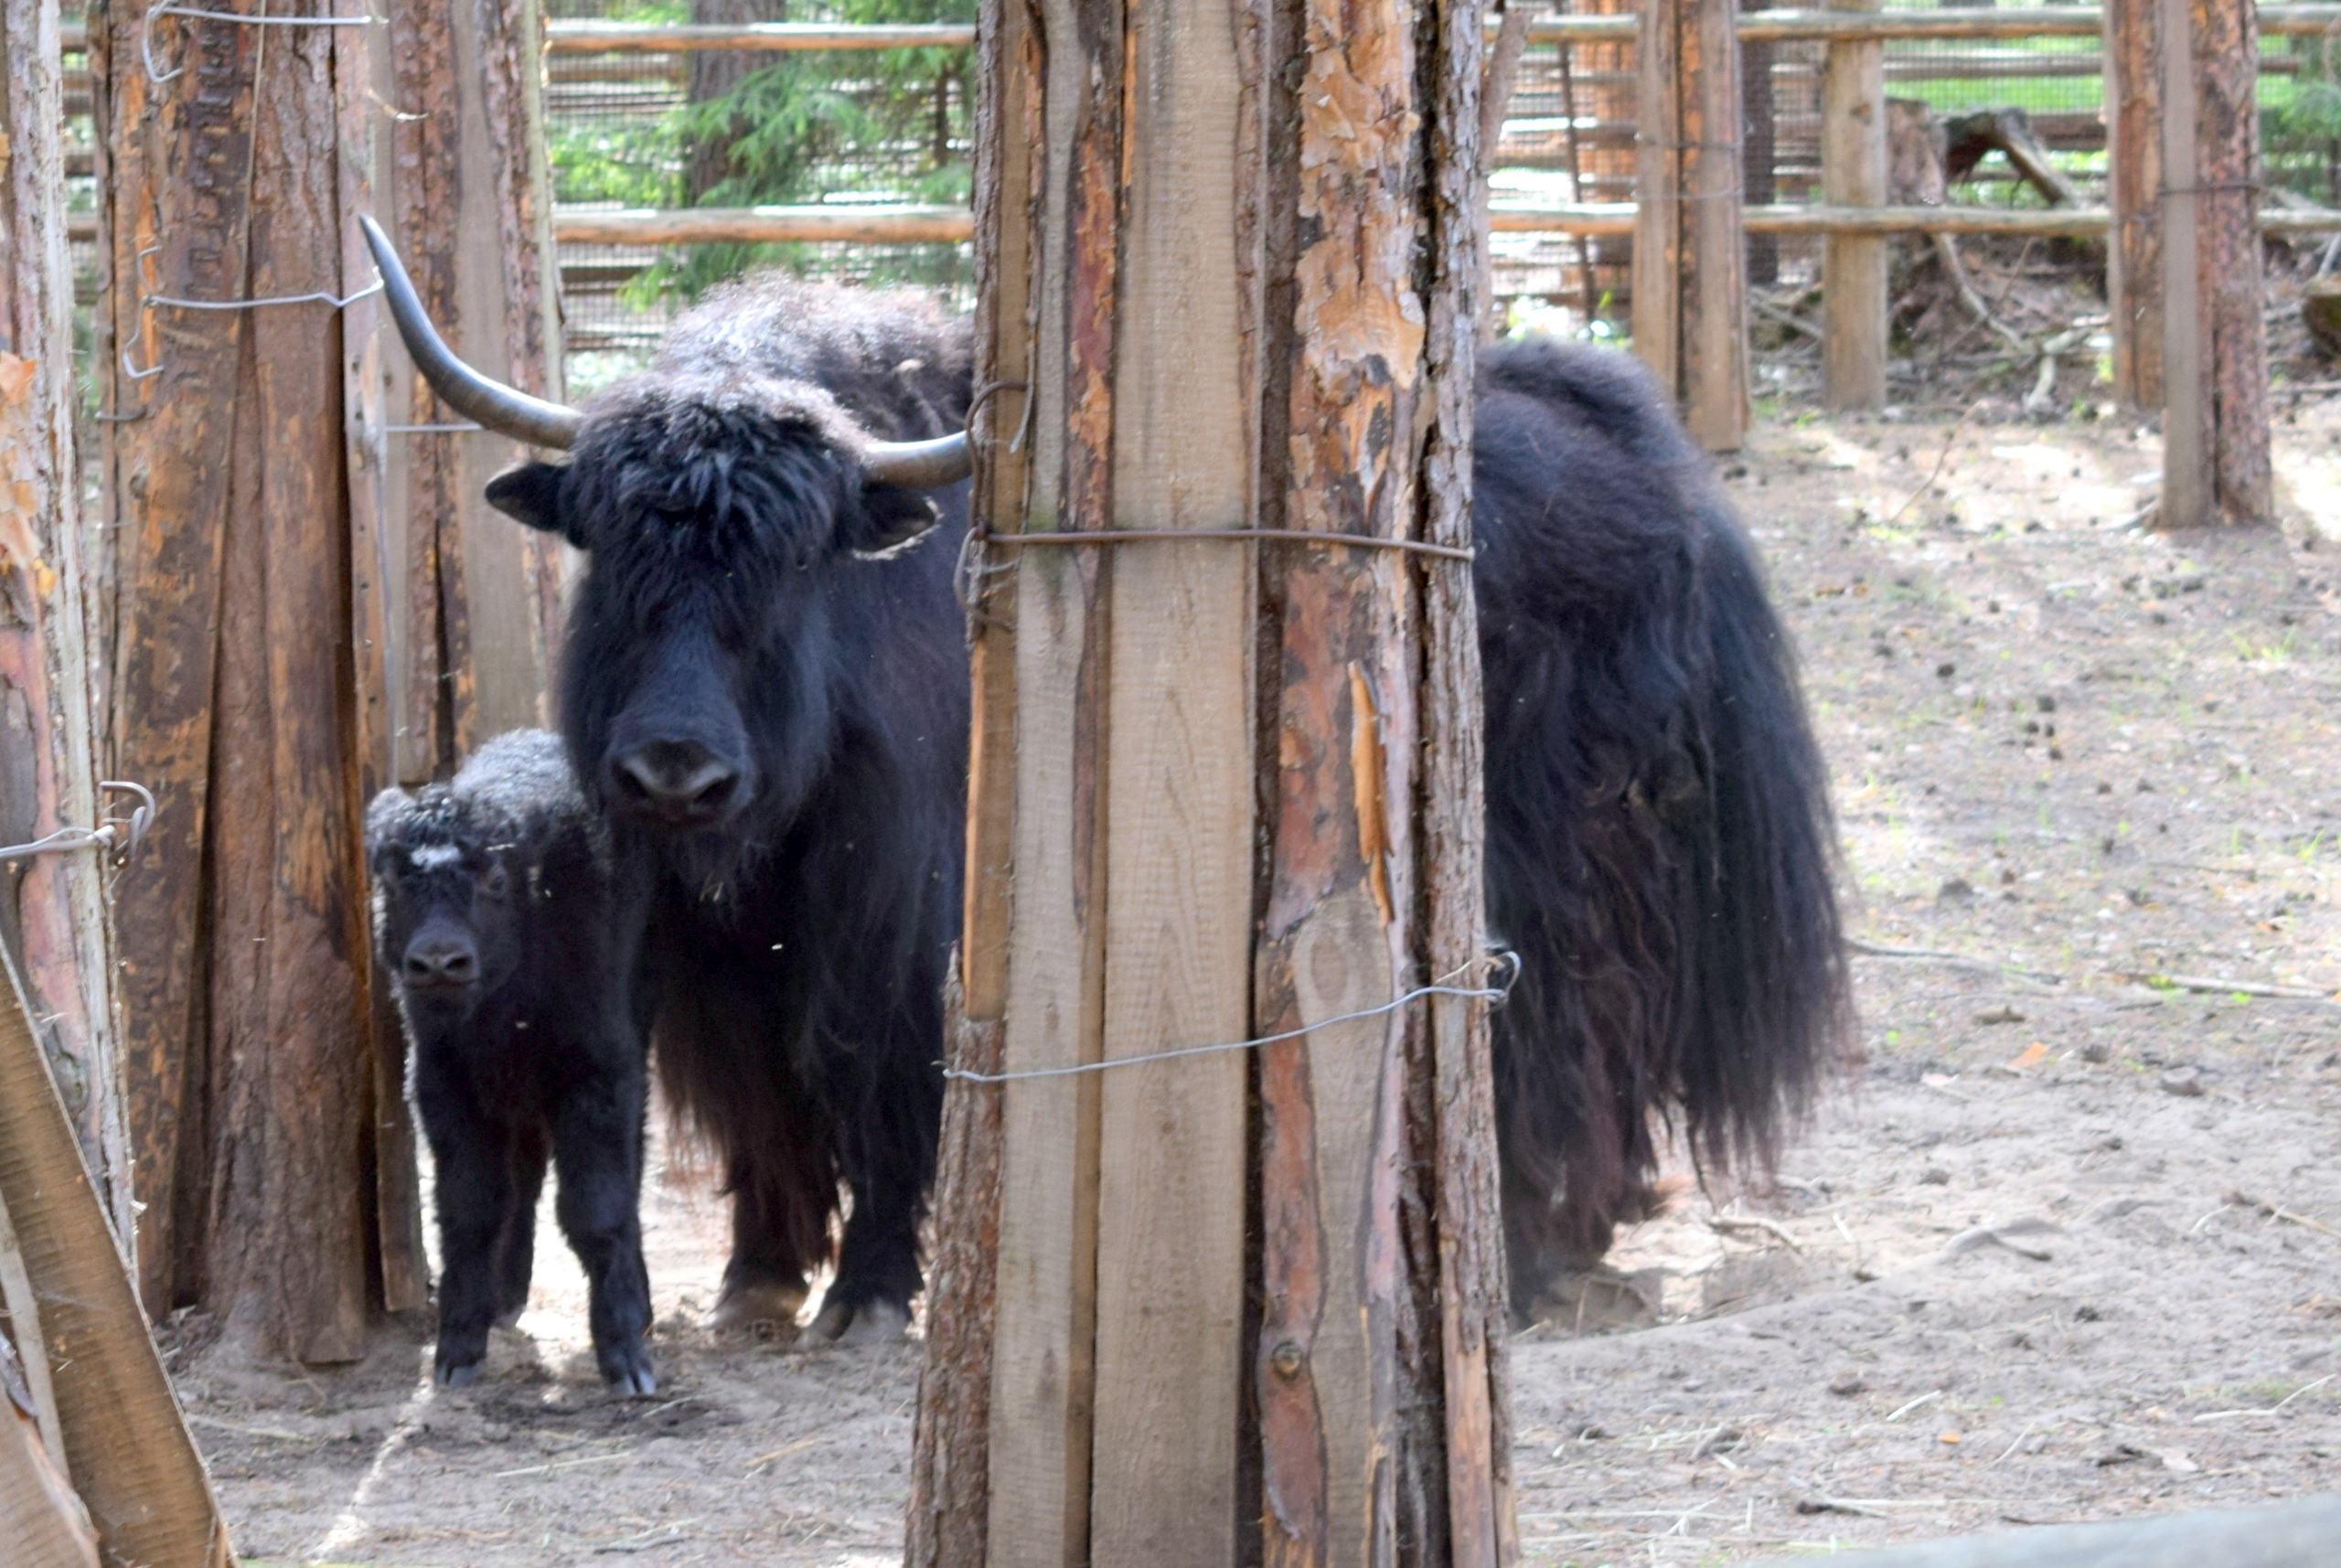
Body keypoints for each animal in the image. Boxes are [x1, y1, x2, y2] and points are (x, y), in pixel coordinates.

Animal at [365, 730, 659, 1394]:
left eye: (495, 880)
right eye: (395, 881)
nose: (439, 961)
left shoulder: (599, 1073)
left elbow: (596, 1207)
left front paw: (627, 1358)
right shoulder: (443, 1084)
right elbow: (468, 1208)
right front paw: (457, 1349)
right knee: (522, 1175)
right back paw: (506, 1295)